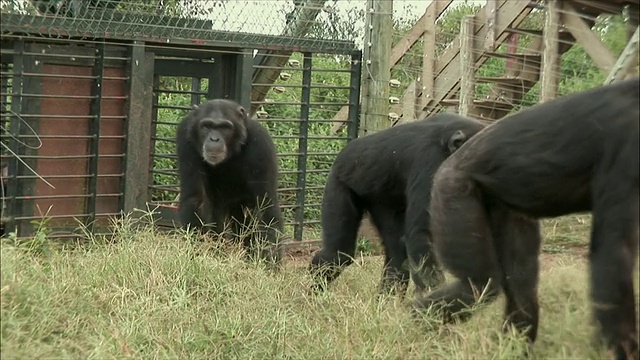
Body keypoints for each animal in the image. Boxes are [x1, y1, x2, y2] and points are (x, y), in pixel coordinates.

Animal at [176, 98, 284, 264]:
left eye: (224, 127)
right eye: (207, 126)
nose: (214, 138)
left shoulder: (261, 145)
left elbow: (266, 207)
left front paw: (268, 261)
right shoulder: (185, 138)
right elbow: (196, 198)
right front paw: (197, 254)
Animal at [308, 114, 484, 296]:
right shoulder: (431, 163)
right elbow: (422, 234)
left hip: (382, 202)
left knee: (397, 251)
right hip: (339, 184)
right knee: (337, 254)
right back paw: (314, 293)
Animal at [416, 78, 640, 360]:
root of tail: (448, 162)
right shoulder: (629, 146)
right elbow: (614, 255)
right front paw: (623, 349)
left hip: (504, 209)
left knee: (521, 285)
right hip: (453, 193)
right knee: (479, 284)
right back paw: (416, 322)